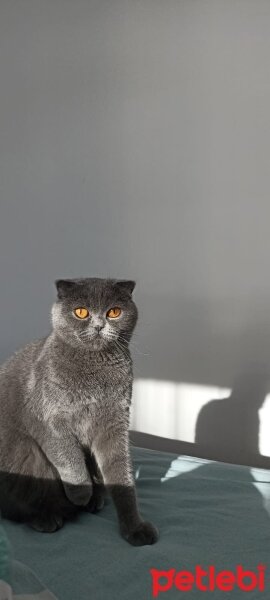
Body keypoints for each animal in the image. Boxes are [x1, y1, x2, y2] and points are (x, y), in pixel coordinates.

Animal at [0, 278, 158, 548]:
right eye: (81, 312)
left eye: (114, 312)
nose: (99, 325)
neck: (95, 372)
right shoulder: (51, 420)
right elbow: (69, 457)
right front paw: (81, 493)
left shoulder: (115, 423)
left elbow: (122, 477)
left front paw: (135, 528)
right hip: (21, 454)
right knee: (16, 506)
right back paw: (48, 518)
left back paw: (95, 501)